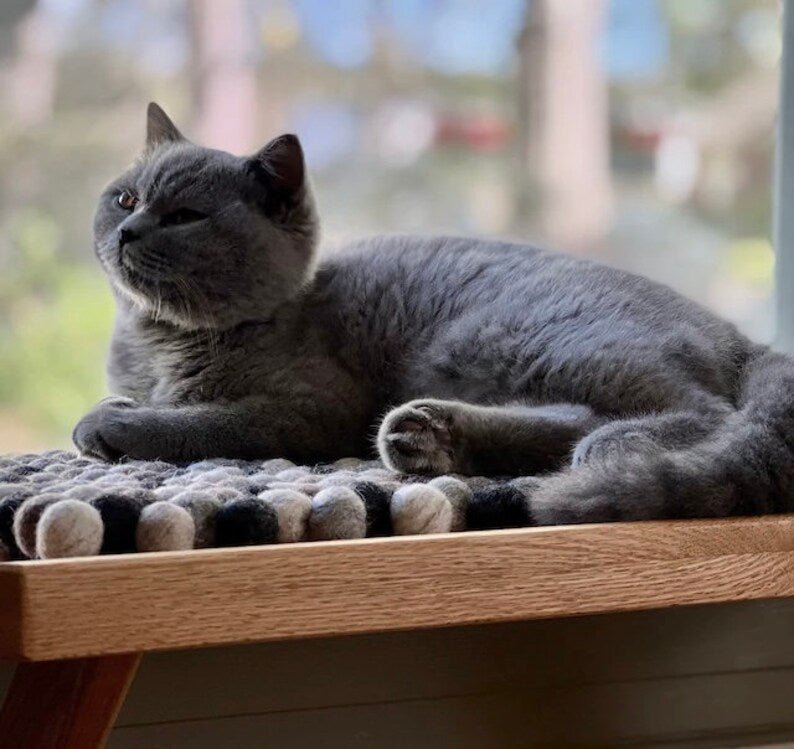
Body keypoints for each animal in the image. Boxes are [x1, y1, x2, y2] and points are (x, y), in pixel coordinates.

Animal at [72, 103, 792, 520]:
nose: (128, 231)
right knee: (572, 416)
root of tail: (734, 333)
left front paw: (115, 423)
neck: (159, 339)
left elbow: (209, 420)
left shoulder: (311, 405)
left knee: (699, 411)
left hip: (509, 336)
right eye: (125, 198)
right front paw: (121, 405)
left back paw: (611, 445)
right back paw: (426, 435)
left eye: (184, 216)